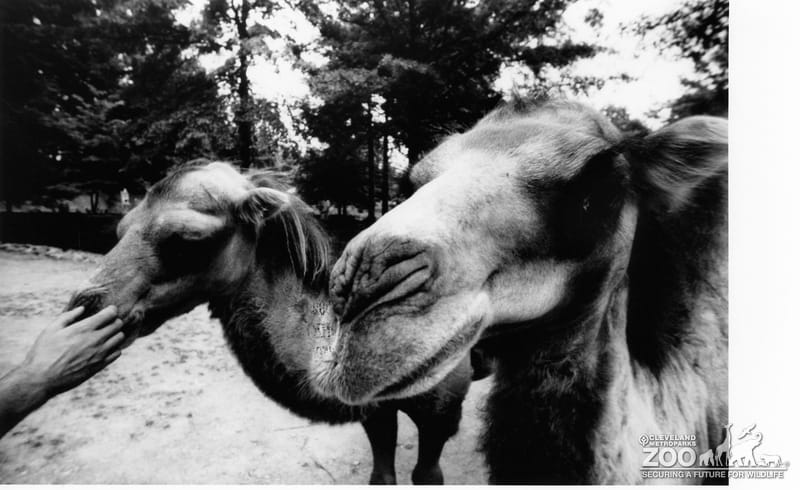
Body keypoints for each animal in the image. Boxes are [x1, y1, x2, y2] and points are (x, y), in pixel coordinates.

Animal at [65, 162, 473, 484]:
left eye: (186, 238)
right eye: (120, 230)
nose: (85, 304)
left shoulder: (443, 410)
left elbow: (428, 474)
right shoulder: (376, 410)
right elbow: (382, 474)